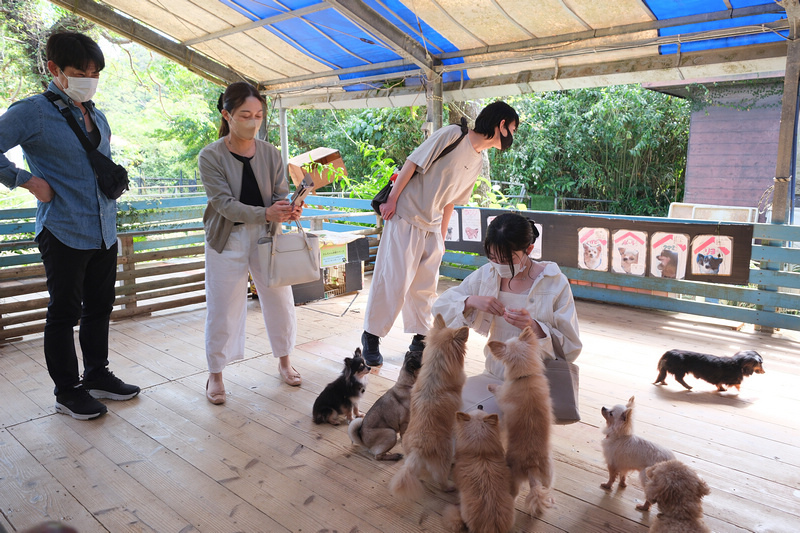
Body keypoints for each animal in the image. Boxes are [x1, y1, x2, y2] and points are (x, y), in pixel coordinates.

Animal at [488, 326, 556, 516]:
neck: (525, 377)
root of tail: (531, 465)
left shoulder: (502, 395)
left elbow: (498, 390)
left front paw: (492, 386)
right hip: (549, 471)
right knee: (546, 487)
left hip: (513, 476)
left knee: (514, 494)